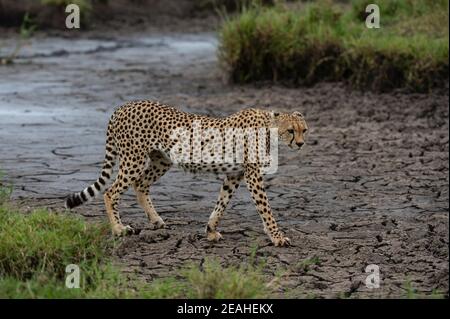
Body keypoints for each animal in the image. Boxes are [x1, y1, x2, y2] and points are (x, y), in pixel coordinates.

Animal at [65, 100, 308, 248]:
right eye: (290, 131)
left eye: (304, 130)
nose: (301, 144)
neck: (269, 129)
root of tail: (124, 106)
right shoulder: (252, 175)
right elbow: (265, 208)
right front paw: (277, 237)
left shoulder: (234, 175)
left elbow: (221, 203)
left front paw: (210, 230)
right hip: (133, 159)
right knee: (110, 192)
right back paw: (118, 229)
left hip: (162, 159)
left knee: (140, 185)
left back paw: (156, 220)